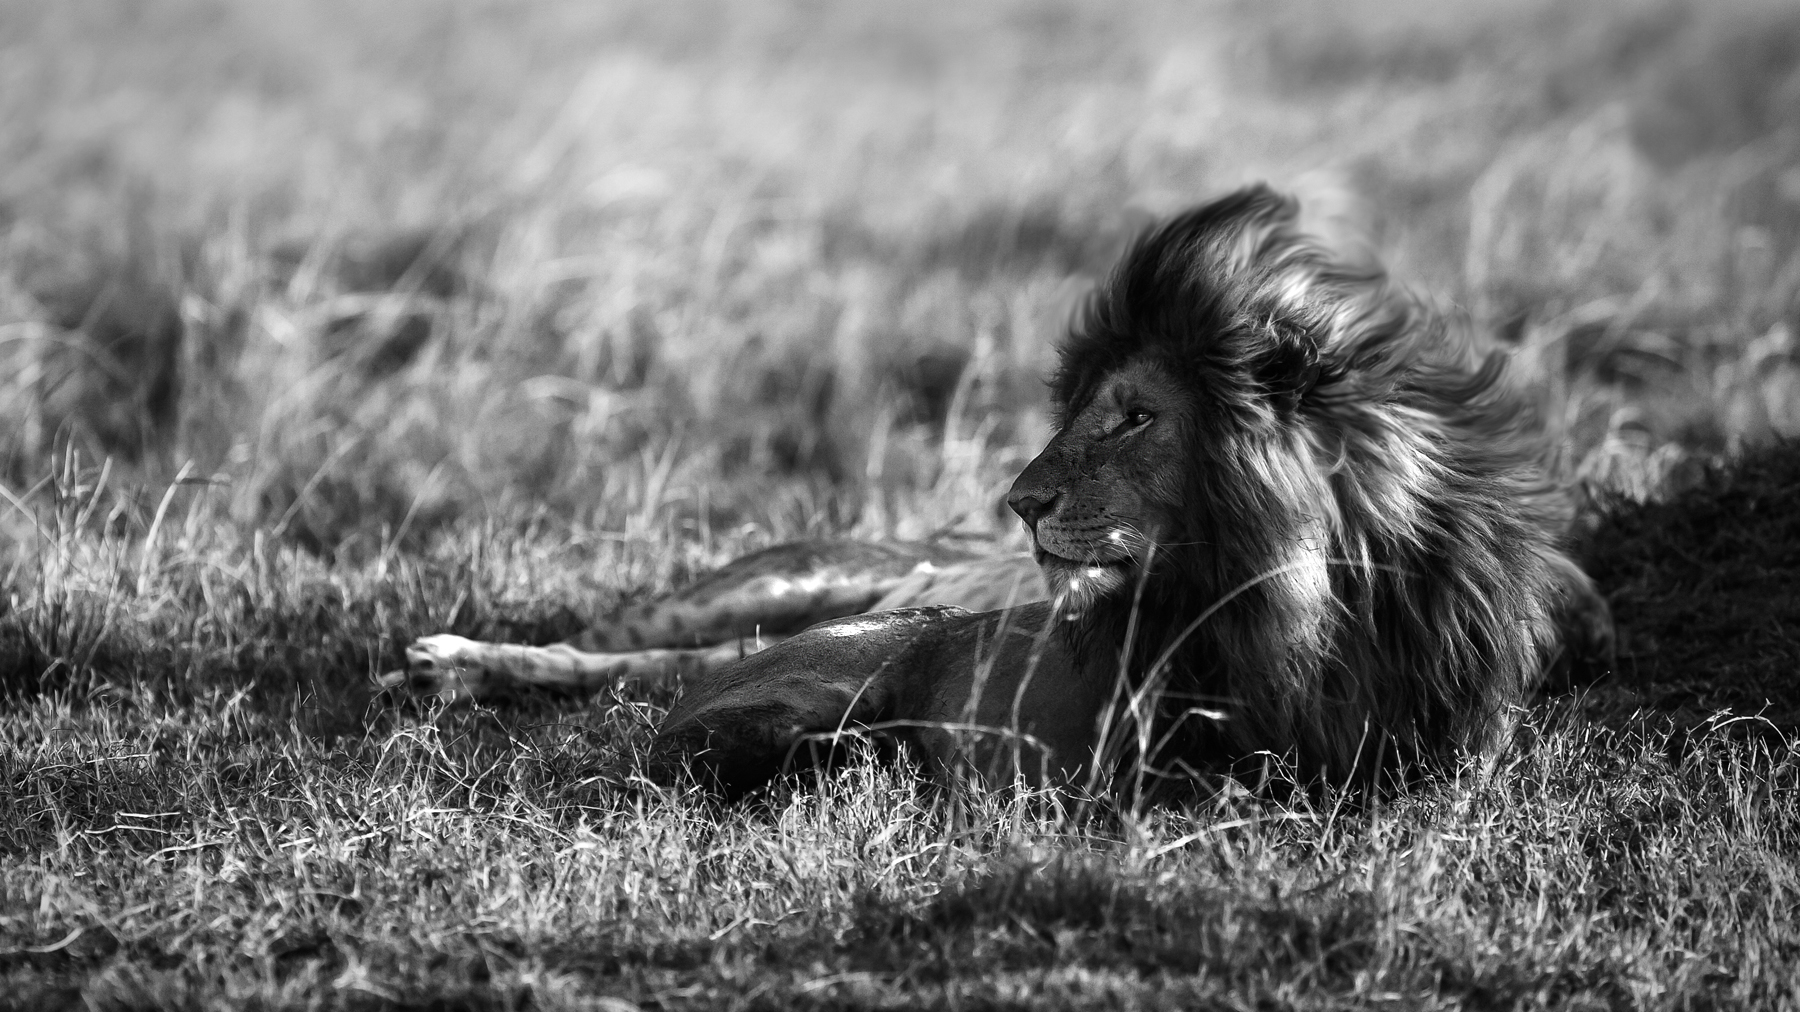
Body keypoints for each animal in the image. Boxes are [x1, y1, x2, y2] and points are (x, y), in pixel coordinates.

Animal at [387, 185, 1612, 792]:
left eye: (1133, 414)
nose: (1019, 503)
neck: (1304, 584)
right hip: (783, 592)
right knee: (628, 651)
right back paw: (457, 661)